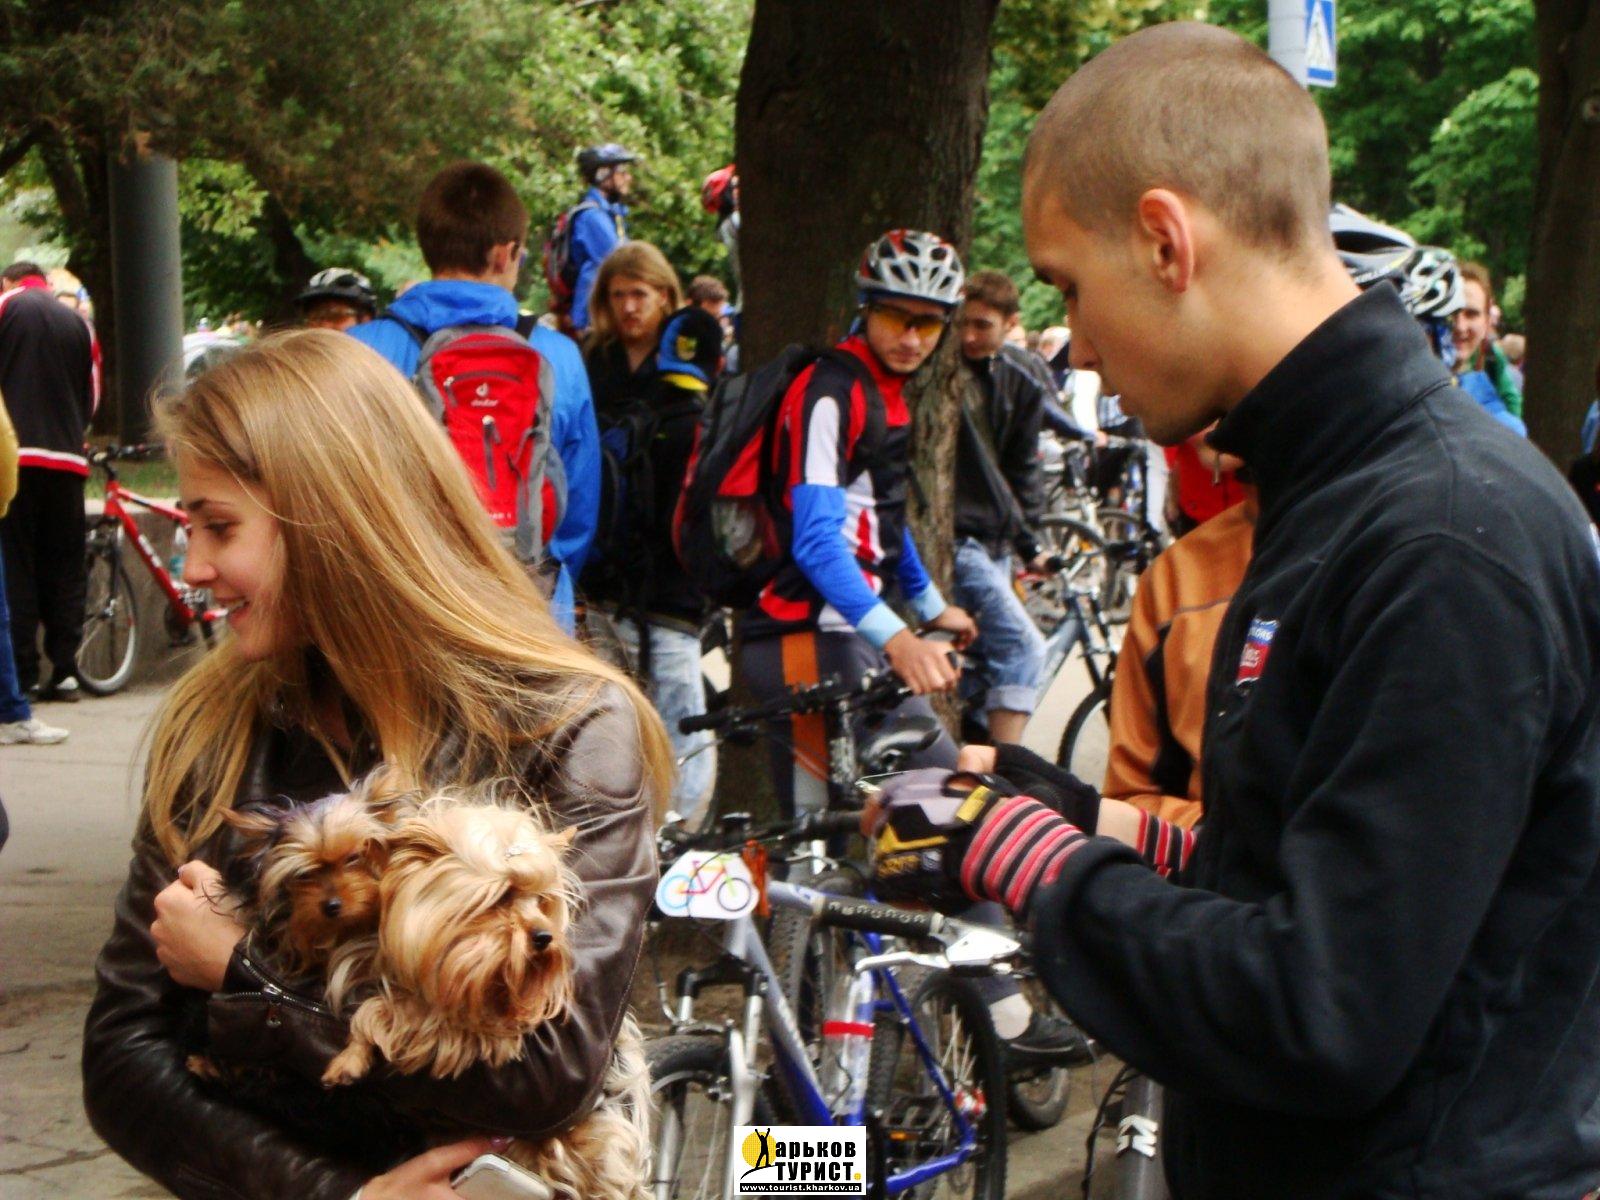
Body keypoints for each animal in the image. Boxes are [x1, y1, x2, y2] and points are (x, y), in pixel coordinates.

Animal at [321, 798, 652, 1200]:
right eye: (502, 896)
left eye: (542, 901)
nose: (545, 937)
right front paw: (350, 1057)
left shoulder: (475, 1029)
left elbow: (388, 1011)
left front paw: (353, 1053)